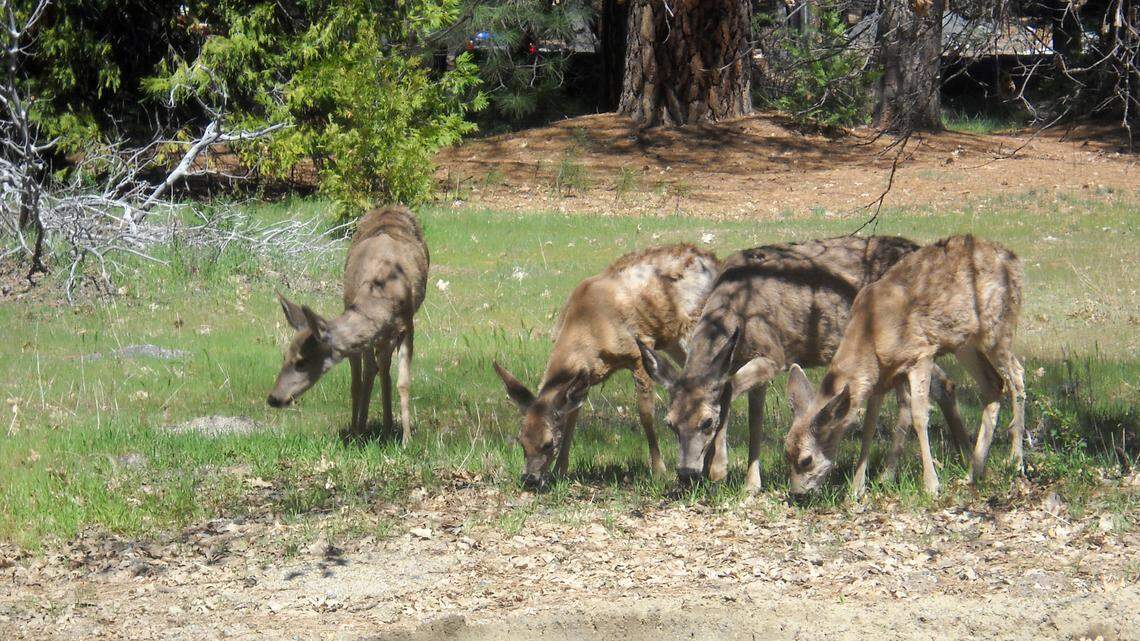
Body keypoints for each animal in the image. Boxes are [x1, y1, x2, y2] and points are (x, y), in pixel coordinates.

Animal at [267, 206, 429, 446]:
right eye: (284, 356)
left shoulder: (407, 325)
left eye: (302, 362)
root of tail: (390, 207)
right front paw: (356, 432)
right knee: (374, 369)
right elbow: (358, 382)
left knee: (382, 368)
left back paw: (387, 427)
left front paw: (405, 439)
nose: (273, 398)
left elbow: (403, 382)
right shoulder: (356, 325)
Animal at [493, 244, 720, 488]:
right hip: (673, 341)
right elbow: (572, 418)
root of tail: (713, 260)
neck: (588, 325)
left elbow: (645, 414)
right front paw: (559, 471)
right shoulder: (585, 378)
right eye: (521, 441)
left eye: (548, 443)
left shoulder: (639, 349)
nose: (529, 479)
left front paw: (659, 471)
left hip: (694, 325)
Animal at [638, 235, 970, 494]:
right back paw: (955, 458)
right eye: (669, 423)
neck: (736, 310)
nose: (685, 473)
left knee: (932, 390)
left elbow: (729, 389)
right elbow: (755, 418)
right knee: (935, 389)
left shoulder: (774, 355)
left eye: (707, 422)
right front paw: (750, 484)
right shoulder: (748, 361)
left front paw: (718, 467)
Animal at [784, 234, 1024, 497]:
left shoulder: (921, 354)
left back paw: (1016, 461)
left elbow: (919, 416)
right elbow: (873, 423)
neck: (872, 333)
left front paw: (931, 485)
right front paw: (860, 486)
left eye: (806, 460)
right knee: (994, 385)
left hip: (997, 329)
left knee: (1017, 376)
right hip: (965, 343)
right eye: (786, 452)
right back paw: (973, 472)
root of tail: (1014, 259)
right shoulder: (884, 377)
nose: (796, 493)